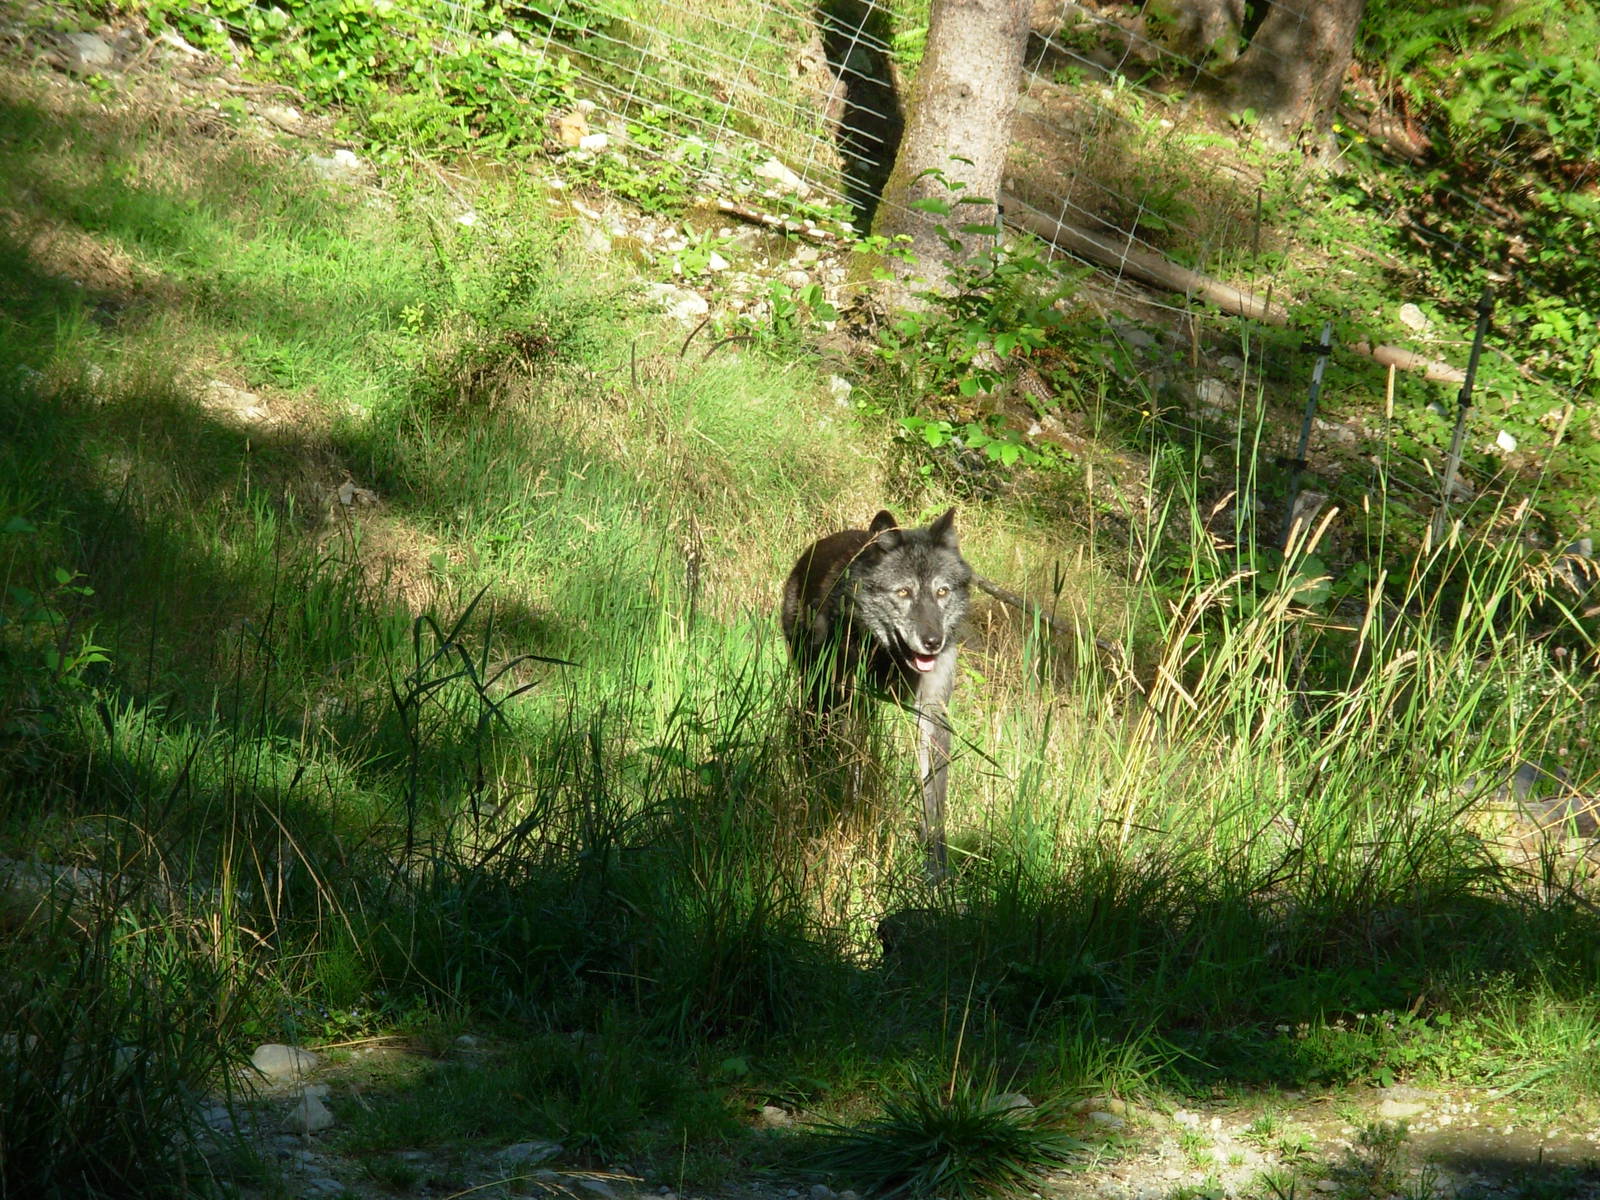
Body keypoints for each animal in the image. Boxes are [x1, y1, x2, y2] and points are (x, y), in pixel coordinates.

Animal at [780, 508, 973, 875]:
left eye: (942, 592)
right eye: (903, 592)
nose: (933, 642)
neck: (890, 659)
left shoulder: (932, 714)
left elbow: (934, 796)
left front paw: (936, 869)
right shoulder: (849, 704)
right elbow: (853, 772)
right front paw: (850, 829)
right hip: (820, 693)